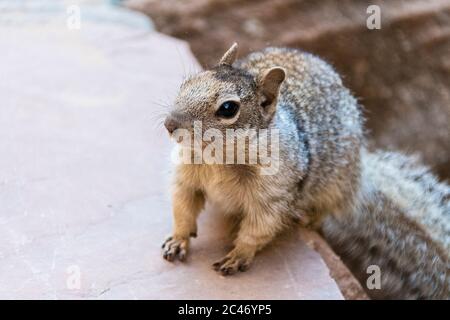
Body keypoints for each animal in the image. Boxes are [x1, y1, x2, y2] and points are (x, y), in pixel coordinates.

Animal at [160, 43, 448, 300]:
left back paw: (307, 217)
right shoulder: (186, 177)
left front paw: (238, 255)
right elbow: (183, 206)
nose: (169, 124)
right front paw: (178, 239)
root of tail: (362, 171)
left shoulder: (273, 194)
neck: (218, 158)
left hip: (335, 183)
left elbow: (258, 228)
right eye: (187, 83)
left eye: (228, 108)